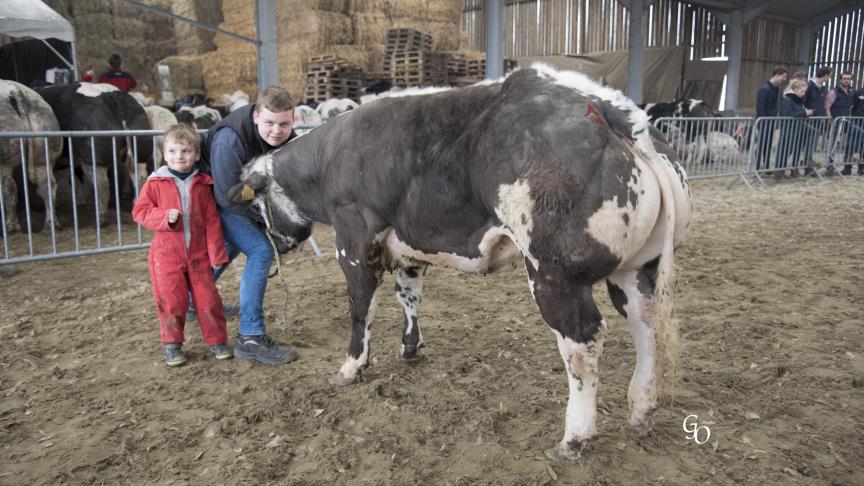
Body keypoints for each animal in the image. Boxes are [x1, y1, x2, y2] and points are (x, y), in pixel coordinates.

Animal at [233, 64, 692, 460]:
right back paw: (640, 411)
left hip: (555, 275)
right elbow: (409, 297)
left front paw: (351, 367)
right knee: (645, 325)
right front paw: (411, 347)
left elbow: (360, 309)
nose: (279, 245)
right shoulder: (409, 249)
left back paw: (574, 438)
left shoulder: (354, 242)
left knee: (582, 344)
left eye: (257, 204)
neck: (331, 156)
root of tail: (607, 106)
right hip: (636, 271)